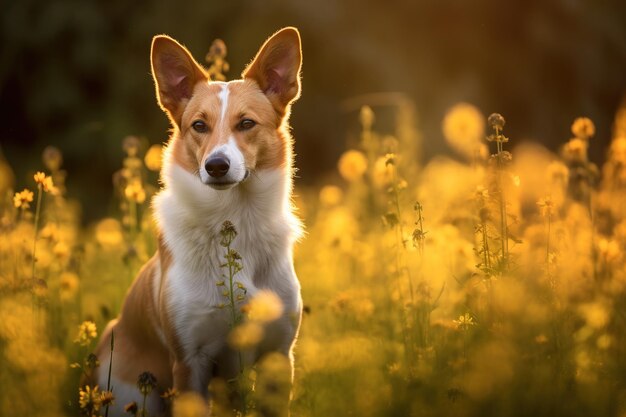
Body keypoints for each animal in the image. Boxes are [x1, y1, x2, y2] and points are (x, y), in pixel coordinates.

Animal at [92, 27, 304, 414]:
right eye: (199, 126)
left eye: (246, 123)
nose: (216, 165)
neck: (234, 220)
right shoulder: (190, 360)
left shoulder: (278, 355)